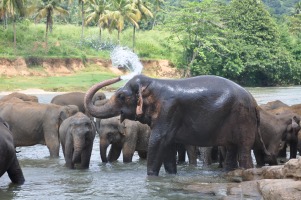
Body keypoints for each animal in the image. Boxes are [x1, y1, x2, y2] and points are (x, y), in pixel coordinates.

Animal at [83, 74, 268, 176]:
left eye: (121, 96)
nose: (120, 76)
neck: (153, 83)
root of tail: (255, 103)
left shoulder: (169, 110)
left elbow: (157, 142)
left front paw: (151, 177)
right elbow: (168, 146)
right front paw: (171, 176)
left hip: (243, 119)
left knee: (243, 150)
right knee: (231, 149)